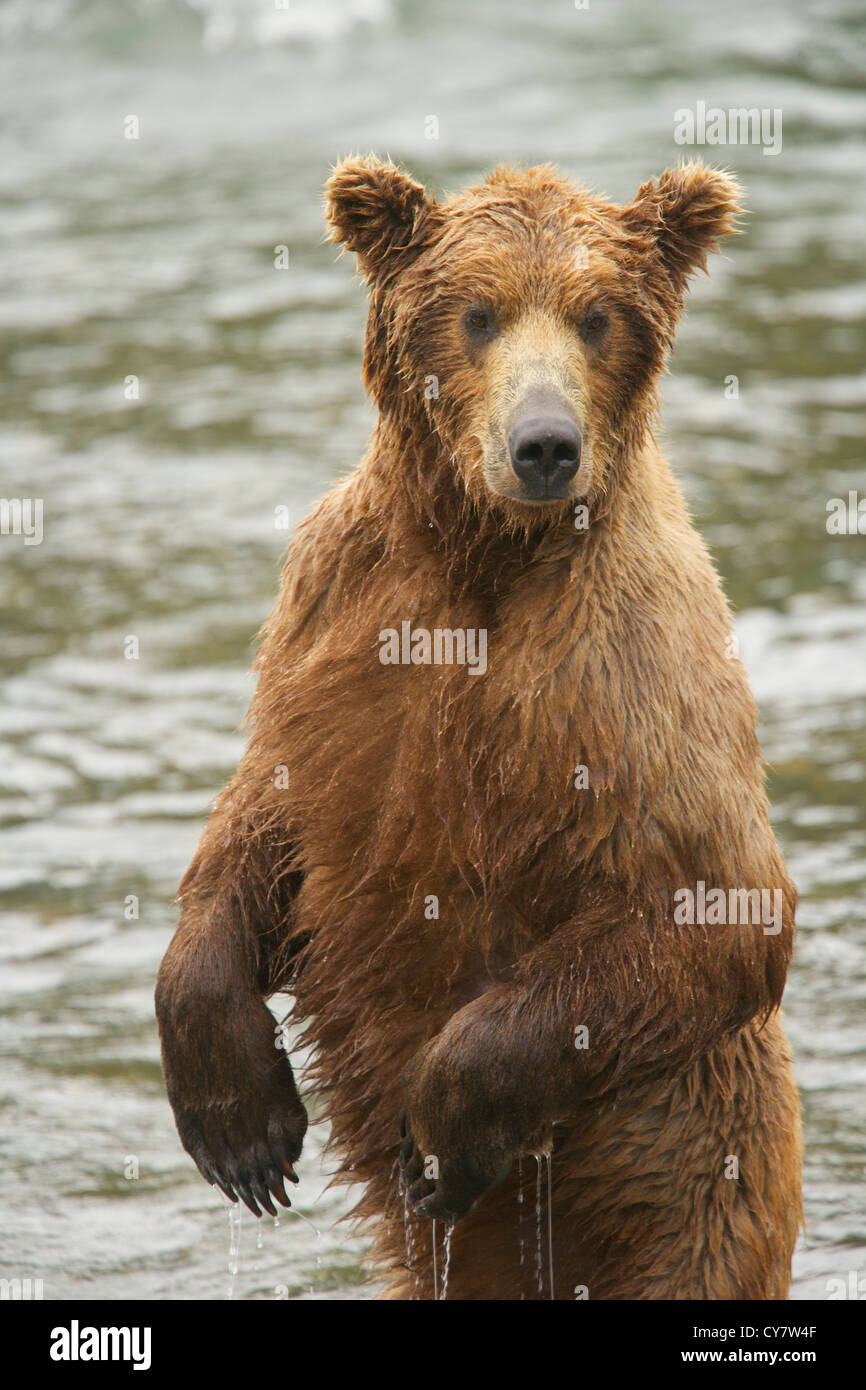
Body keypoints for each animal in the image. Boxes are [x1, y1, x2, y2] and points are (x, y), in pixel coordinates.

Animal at [155, 157, 806, 1295]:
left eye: (595, 315)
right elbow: (264, 813)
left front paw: (438, 1134)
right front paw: (241, 1123)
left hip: (697, 1185)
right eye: (477, 312)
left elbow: (714, 899)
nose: (543, 446)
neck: (482, 553)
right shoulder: (332, 628)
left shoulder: (624, 674)